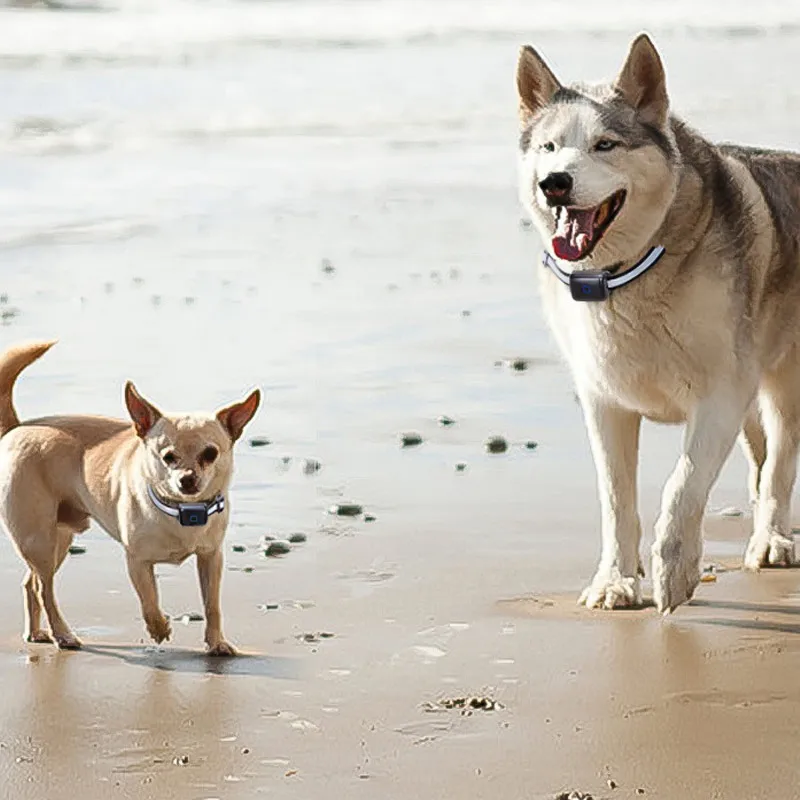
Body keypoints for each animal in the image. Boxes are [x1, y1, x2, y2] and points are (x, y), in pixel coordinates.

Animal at [516, 34, 800, 612]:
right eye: (549, 148)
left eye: (605, 145)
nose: (555, 184)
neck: (628, 272)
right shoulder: (605, 404)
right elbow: (615, 500)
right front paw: (616, 580)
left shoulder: (719, 397)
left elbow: (682, 485)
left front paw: (675, 568)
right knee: (764, 464)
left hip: (784, 382)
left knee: (781, 463)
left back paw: (772, 540)